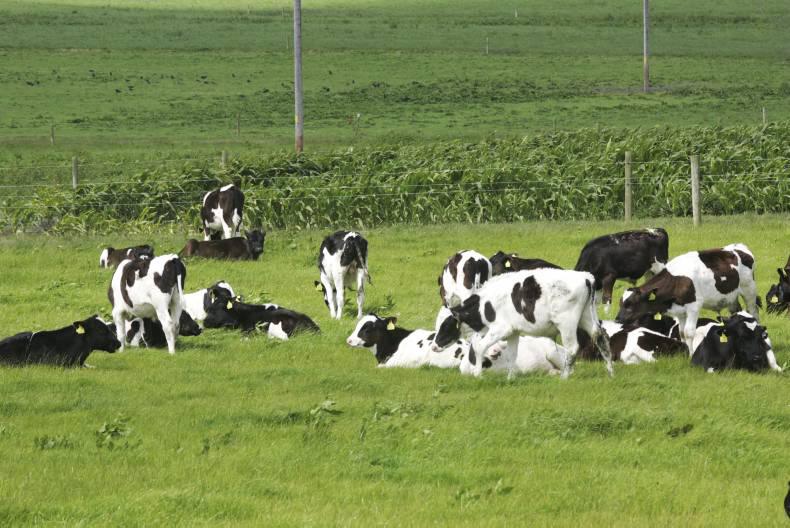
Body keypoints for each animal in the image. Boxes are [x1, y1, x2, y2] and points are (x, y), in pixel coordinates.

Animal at [436, 269, 614, 379]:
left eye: (446, 325)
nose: (435, 345)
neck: (484, 304)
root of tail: (586, 277)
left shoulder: (500, 329)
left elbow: (480, 347)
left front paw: (478, 374)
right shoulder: (513, 332)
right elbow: (512, 355)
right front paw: (510, 378)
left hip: (567, 323)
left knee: (572, 349)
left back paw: (564, 377)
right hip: (587, 316)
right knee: (601, 338)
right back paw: (611, 372)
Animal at [615, 243, 759, 354]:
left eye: (630, 304)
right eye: (621, 304)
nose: (617, 319)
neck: (677, 280)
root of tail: (739, 247)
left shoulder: (694, 306)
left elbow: (689, 332)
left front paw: (691, 354)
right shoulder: (680, 310)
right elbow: (681, 332)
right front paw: (685, 352)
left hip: (749, 290)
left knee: (754, 312)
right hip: (731, 297)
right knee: (736, 311)